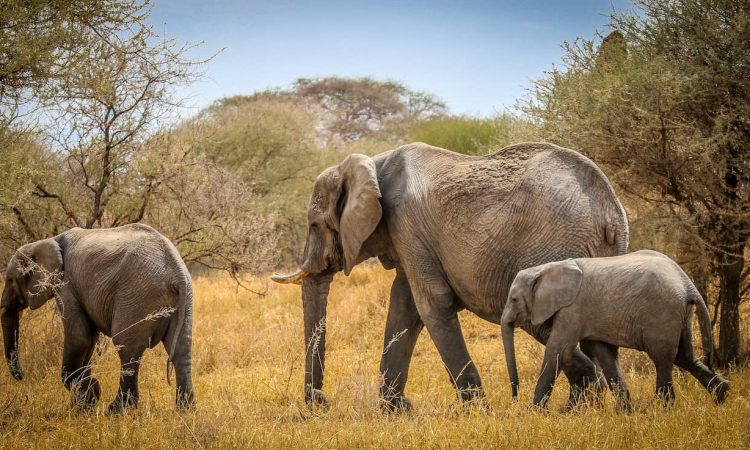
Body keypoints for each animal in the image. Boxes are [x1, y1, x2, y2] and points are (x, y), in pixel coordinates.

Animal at [0, 223, 194, 413]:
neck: (46, 241)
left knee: (127, 349)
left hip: (137, 296)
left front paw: (89, 392)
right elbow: (90, 339)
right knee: (181, 349)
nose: (21, 376)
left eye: (9, 279)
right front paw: (82, 403)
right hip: (184, 299)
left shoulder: (66, 284)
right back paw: (185, 410)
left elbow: (79, 337)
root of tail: (177, 273)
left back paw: (116, 410)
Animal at [271, 141, 630, 412]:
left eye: (314, 224)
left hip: (553, 247)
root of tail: (610, 212)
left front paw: (476, 412)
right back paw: (581, 407)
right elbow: (404, 307)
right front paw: (397, 411)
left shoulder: (407, 225)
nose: (321, 401)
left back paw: (577, 401)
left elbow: (432, 303)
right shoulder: (408, 239)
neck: (372, 162)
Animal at [500, 250, 730, 411]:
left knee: (662, 357)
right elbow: (605, 354)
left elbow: (558, 351)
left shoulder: (572, 310)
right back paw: (722, 395)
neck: (544, 269)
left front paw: (532, 412)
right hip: (681, 314)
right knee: (684, 355)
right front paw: (625, 412)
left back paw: (663, 409)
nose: (515, 399)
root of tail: (687, 284)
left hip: (663, 312)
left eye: (514, 299)